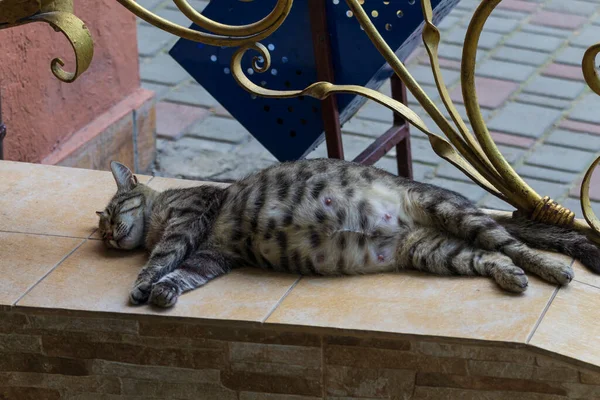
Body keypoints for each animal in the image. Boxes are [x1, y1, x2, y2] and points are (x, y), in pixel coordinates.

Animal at [96, 159, 600, 306]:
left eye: (111, 212)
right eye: (101, 229)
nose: (108, 236)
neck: (162, 210)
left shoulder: (191, 218)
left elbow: (162, 259)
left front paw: (144, 285)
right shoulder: (213, 254)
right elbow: (186, 274)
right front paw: (164, 292)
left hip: (452, 213)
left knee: (513, 245)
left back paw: (552, 270)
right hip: (436, 251)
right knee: (492, 257)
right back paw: (511, 279)